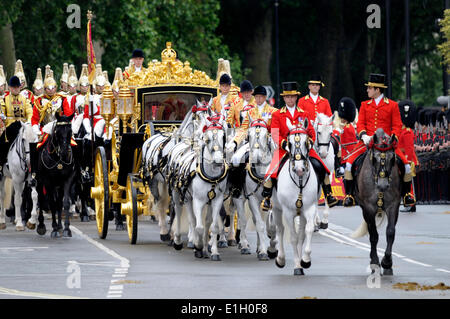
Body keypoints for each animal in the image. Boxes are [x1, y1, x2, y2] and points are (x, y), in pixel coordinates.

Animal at [270, 119, 320, 276]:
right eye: (290, 143)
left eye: (306, 142)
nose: (299, 169)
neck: (299, 181)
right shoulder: (287, 211)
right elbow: (292, 237)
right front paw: (297, 265)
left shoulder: (309, 208)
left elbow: (307, 231)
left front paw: (305, 260)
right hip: (277, 209)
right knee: (280, 229)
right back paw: (280, 259)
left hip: (301, 213)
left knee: (301, 235)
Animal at [352, 129, 400, 276]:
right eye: (375, 158)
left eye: (392, 158)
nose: (383, 185)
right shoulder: (368, 207)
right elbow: (373, 235)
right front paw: (375, 262)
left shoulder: (393, 205)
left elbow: (390, 232)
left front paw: (387, 262)